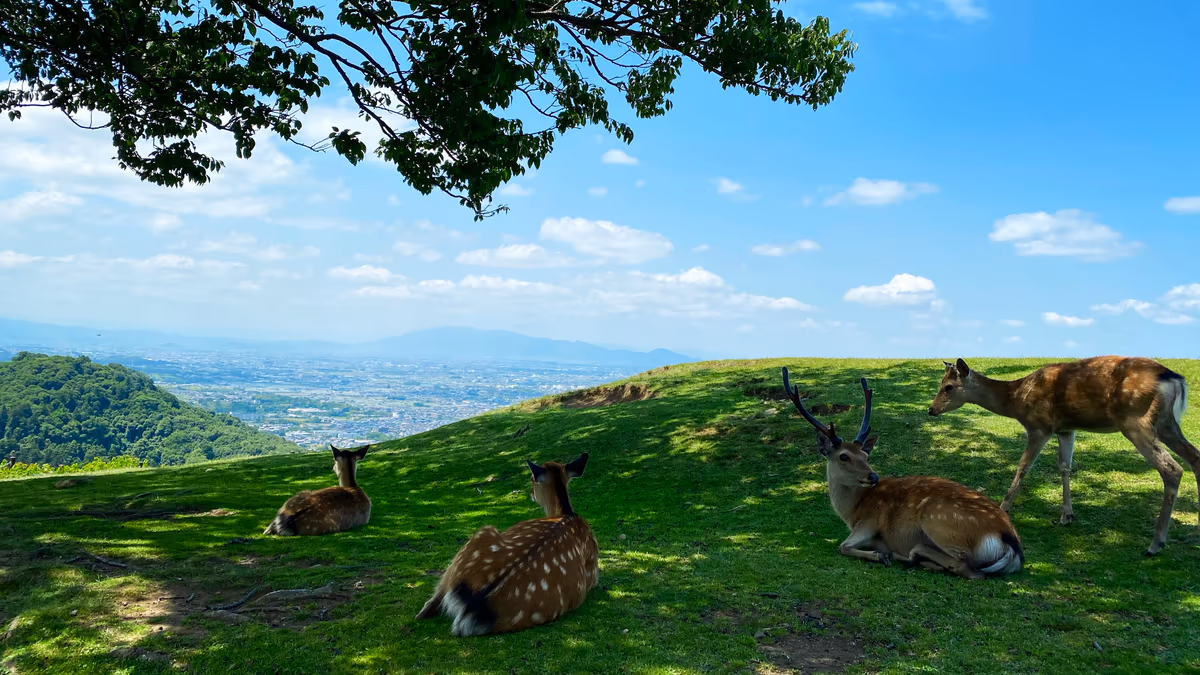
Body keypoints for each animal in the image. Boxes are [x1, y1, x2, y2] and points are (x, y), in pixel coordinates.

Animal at [783, 368, 1024, 579]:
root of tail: (1011, 544)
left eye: (865, 455)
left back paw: (908, 554)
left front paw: (882, 555)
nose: (873, 477)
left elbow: (843, 546)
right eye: (844, 456)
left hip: (937, 519)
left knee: (968, 568)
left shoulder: (869, 521)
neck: (851, 510)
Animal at [928, 356, 1197, 555]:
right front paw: (1067, 515)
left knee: (1172, 468)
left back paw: (1155, 544)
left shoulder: (1040, 426)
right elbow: (1064, 466)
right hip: (1165, 423)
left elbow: (1023, 466)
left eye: (948, 387)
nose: (931, 409)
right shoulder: (1067, 429)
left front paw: (1004, 507)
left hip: (1136, 420)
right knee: (1195, 458)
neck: (1016, 399)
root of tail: (1175, 380)